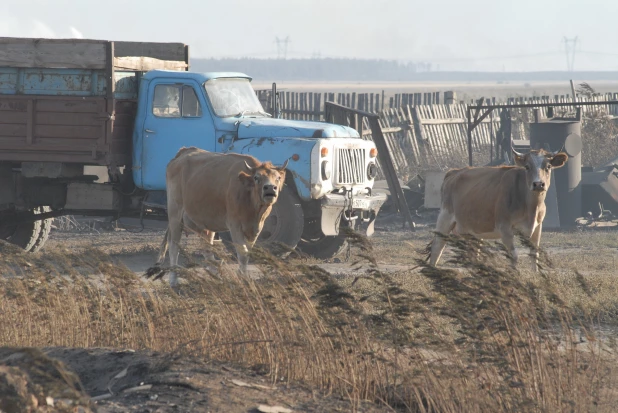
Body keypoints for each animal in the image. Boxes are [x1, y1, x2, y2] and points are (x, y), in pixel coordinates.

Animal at [150, 146, 288, 284]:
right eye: (256, 177)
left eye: (277, 178)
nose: (270, 188)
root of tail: (183, 152)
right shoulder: (235, 225)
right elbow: (242, 252)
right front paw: (243, 278)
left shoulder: (255, 228)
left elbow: (248, 252)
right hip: (175, 215)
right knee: (174, 246)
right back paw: (173, 280)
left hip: (203, 223)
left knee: (207, 248)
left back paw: (214, 274)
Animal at [426, 148, 564, 270]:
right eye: (527, 166)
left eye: (548, 166)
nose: (538, 184)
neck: (530, 206)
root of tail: (454, 172)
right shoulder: (505, 228)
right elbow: (514, 256)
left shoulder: (537, 227)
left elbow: (534, 255)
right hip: (445, 217)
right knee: (437, 248)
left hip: (472, 232)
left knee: (473, 254)